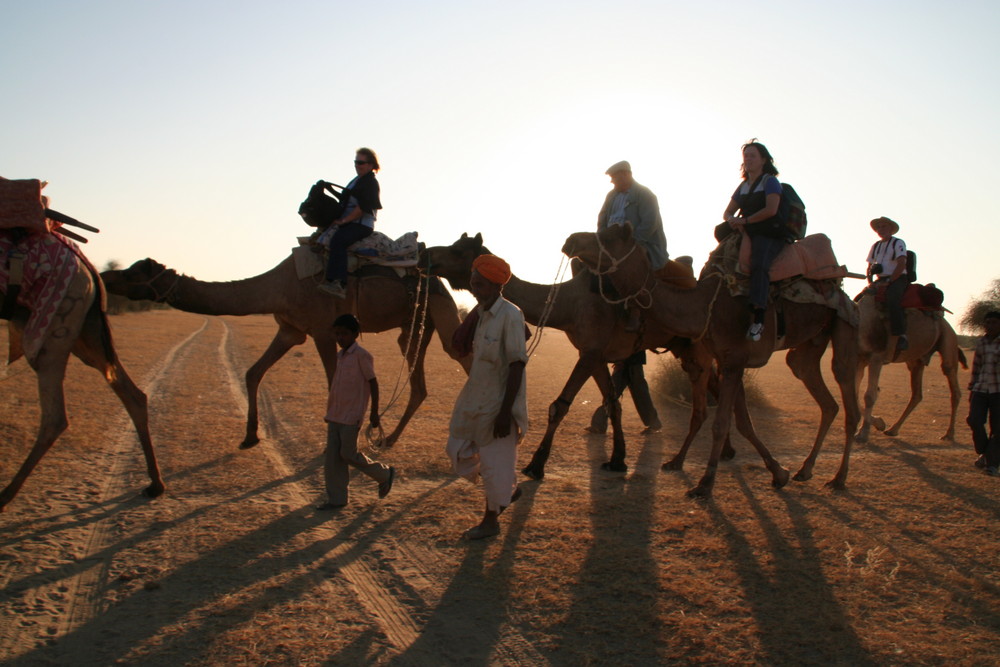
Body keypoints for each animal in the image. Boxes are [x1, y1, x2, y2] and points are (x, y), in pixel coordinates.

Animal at [0, 249, 163, 512]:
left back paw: (4, 496)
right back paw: (155, 485)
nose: (111, 275)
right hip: (85, 334)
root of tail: (93, 277)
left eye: (134, 272)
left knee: (55, 418)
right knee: (133, 394)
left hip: (58, 329)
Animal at [102, 256, 472, 448]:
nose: (106, 275)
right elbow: (253, 372)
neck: (278, 287)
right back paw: (389, 439)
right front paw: (250, 435)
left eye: (134, 271)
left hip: (439, 309)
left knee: (460, 355)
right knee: (419, 385)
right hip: (414, 326)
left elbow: (333, 385)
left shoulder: (323, 330)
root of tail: (436, 278)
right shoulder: (290, 331)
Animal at [420, 232, 764, 478]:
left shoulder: (589, 352)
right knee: (716, 383)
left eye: (458, 250)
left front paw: (536, 465)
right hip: (686, 346)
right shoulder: (595, 354)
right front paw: (617, 459)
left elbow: (559, 405)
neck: (568, 305)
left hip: (698, 345)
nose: (426, 253)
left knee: (716, 380)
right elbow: (613, 403)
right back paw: (727, 450)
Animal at [568, 227, 864, 498]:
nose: (571, 240)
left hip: (844, 322)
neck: (704, 306)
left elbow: (723, 423)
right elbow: (730, 418)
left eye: (608, 235)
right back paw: (805, 470)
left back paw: (838, 478)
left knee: (847, 392)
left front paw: (705, 483)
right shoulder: (720, 360)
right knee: (818, 389)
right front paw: (778, 473)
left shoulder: (734, 360)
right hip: (812, 341)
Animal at [856, 294, 964, 444]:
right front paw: (879, 423)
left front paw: (864, 433)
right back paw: (893, 429)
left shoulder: (876, 358)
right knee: (917, 394)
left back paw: (949, 434)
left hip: (948, 340)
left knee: (953, 383)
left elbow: (869, 395)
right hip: (916, 360)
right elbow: (855, 391)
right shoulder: (860, 359)